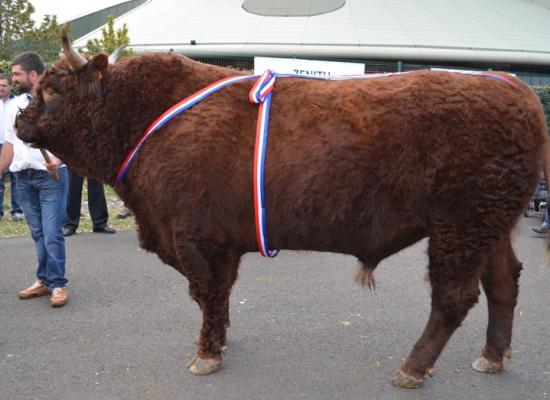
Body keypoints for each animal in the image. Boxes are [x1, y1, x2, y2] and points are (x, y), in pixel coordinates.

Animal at [15, 29, 548, 390]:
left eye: (52, 91)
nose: (19, 121)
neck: (145, 112)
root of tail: (515, 89)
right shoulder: (221, 246)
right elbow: (219, 298)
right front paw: (219, 341)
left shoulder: (197, 242)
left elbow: (206, 294)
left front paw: (206, 355)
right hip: (489, 229)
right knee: (503, 283)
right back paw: (491, 357)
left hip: (458, 230)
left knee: (454, 298)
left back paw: (412, 369)